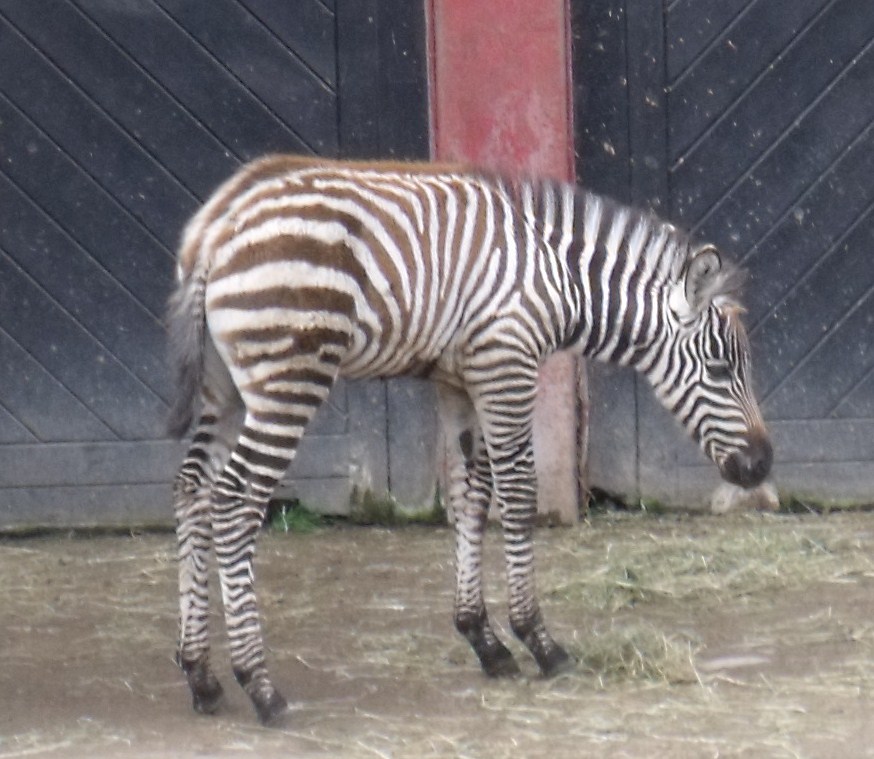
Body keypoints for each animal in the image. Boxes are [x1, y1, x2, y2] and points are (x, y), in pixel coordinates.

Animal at [167, 154, 772, 725]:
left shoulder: (459, 380)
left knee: (192, 489)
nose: (762, 465)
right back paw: (260, 685)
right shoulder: (506, 365)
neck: (556, 278)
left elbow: (469, 498)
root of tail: (216, 226)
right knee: (234, 500)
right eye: (721, 370)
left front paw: (484, 638)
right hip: (287, 380)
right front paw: (538, 640)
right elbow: (519, 494)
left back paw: (201, 675)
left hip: (224, 387)